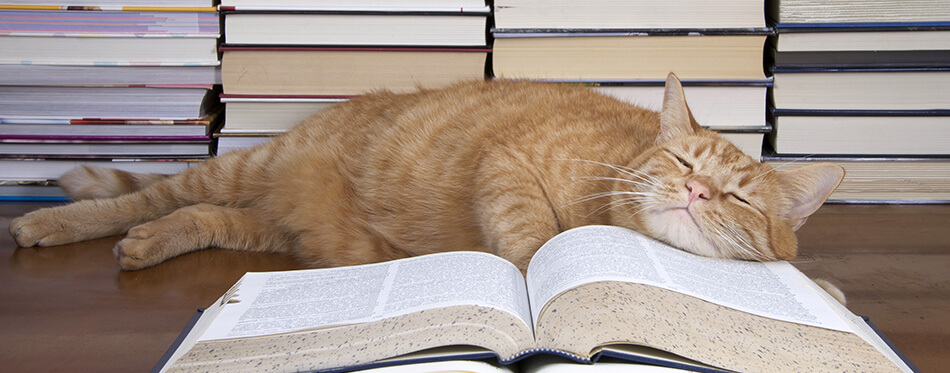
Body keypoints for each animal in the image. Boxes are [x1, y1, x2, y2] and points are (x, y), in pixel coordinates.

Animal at [9, 73, 848, 296]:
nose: (697, 195)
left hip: (269, 226)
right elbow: (534, 239)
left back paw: (149, 243)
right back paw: (53, 224)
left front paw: (824, 293)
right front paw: (542, 276)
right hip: (242, 165)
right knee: (150, 194)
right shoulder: (509, 163)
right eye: (683, 166)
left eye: (738, 197)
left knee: (200, 216)